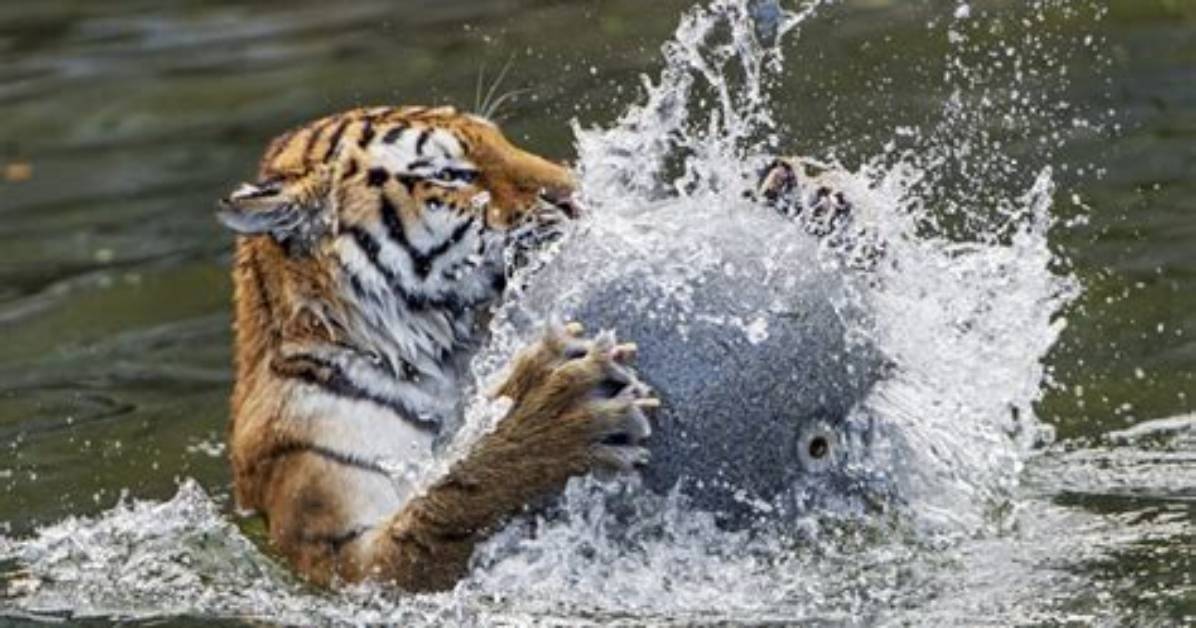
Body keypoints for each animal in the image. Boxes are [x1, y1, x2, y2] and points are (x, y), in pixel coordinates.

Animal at [219, 105, 658, 592]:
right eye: (450, 175)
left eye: (502, 141)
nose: (575, 192)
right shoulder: (345, 560)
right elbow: (451, 503)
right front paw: (559, 409)